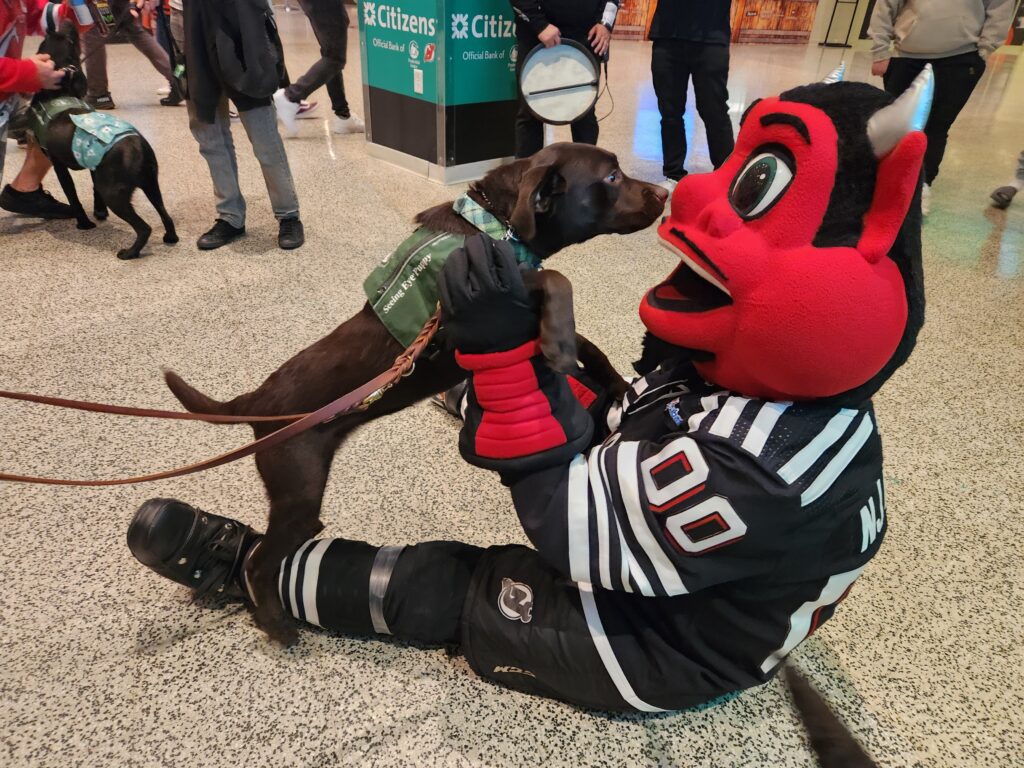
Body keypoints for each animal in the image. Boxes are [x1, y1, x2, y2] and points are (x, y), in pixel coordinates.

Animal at [32, 20, 178, 260]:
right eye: (55, 37)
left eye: (70, 39)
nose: (68, 20)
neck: (59, 95)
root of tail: (137, 146)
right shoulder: (93, 166)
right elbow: (93, 190)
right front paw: (99, 212)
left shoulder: (59, 166)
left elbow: (73, 196)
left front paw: (84, 224)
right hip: (151, 184)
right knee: (166, 215)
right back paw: (170, 237)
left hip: (115, 193)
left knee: (144, 228)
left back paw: (130, 253)